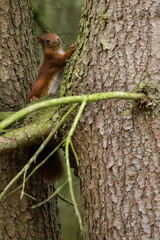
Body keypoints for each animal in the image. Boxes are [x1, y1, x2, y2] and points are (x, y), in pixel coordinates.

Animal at [27, 32, 76, 182]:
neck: (56, 50)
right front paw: (72, 49)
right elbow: (62, 60)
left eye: (56, 35)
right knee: (32, 95)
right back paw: (33, 98)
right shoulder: (52, 60)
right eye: (47, 40)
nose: (58, 39)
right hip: (39, 84)